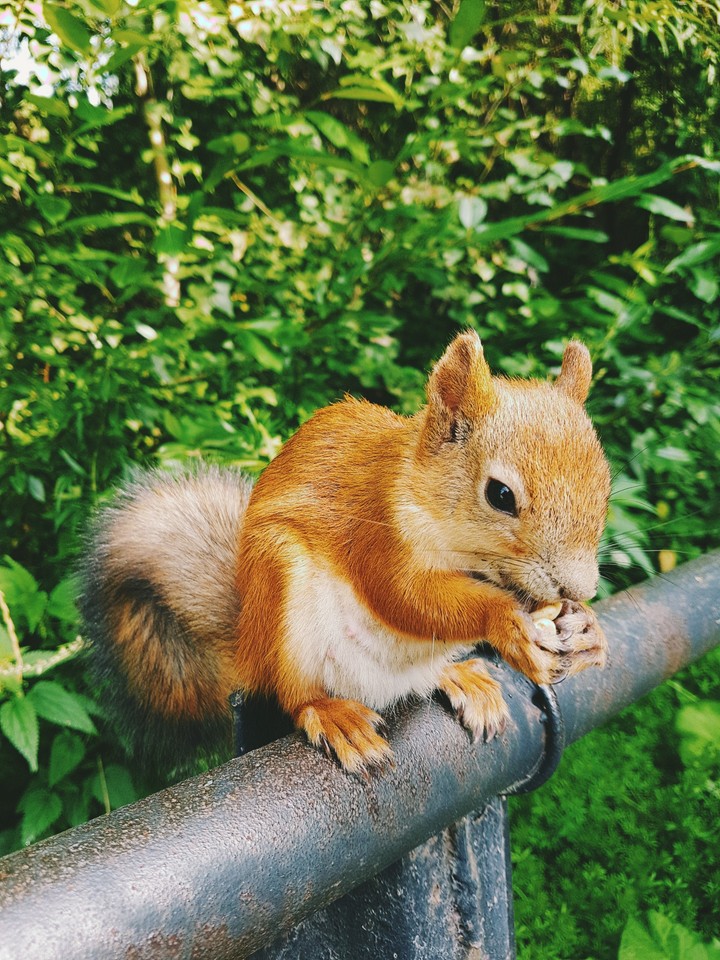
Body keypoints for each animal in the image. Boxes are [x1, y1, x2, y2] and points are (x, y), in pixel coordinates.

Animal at [80, 332, 611, 775]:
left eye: (605, 489)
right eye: (500, 495)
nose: (579, 587)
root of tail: (250, 647)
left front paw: (588, 632)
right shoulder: (376, 532)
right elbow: (405, 598)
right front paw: (506, 622)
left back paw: (459, 675)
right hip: (282, 595)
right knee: (295, 695)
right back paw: (332, 715)